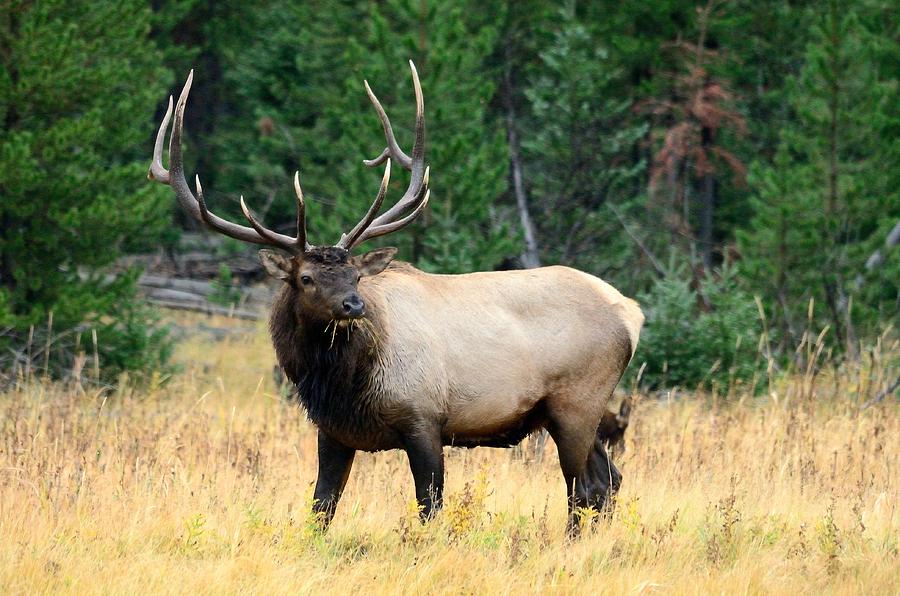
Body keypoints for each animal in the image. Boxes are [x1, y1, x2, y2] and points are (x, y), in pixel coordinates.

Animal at [148, 61, 644, 536]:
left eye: (355, 275)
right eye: (306, 278)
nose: (353, 305)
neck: (342, 383)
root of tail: (633, 313)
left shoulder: (424, 418)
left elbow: (430, 506)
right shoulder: (333, 431)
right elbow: (321, 508)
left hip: (577, 401)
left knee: (584, 487)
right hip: (578, 413)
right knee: (610, 480)